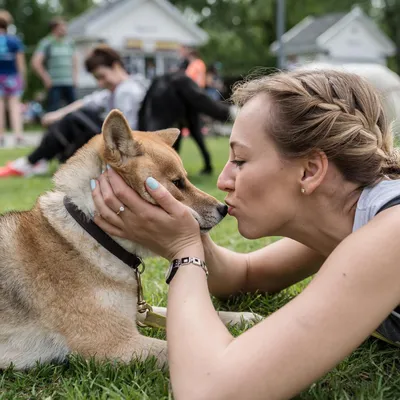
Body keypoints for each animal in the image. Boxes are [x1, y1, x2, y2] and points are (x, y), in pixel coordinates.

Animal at [0, 108, 258, 368]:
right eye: (177, 183)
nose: (223, 208)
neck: (94, 233)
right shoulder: (114, 344)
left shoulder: (136, 311)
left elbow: (189, 314)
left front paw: (243, 317)